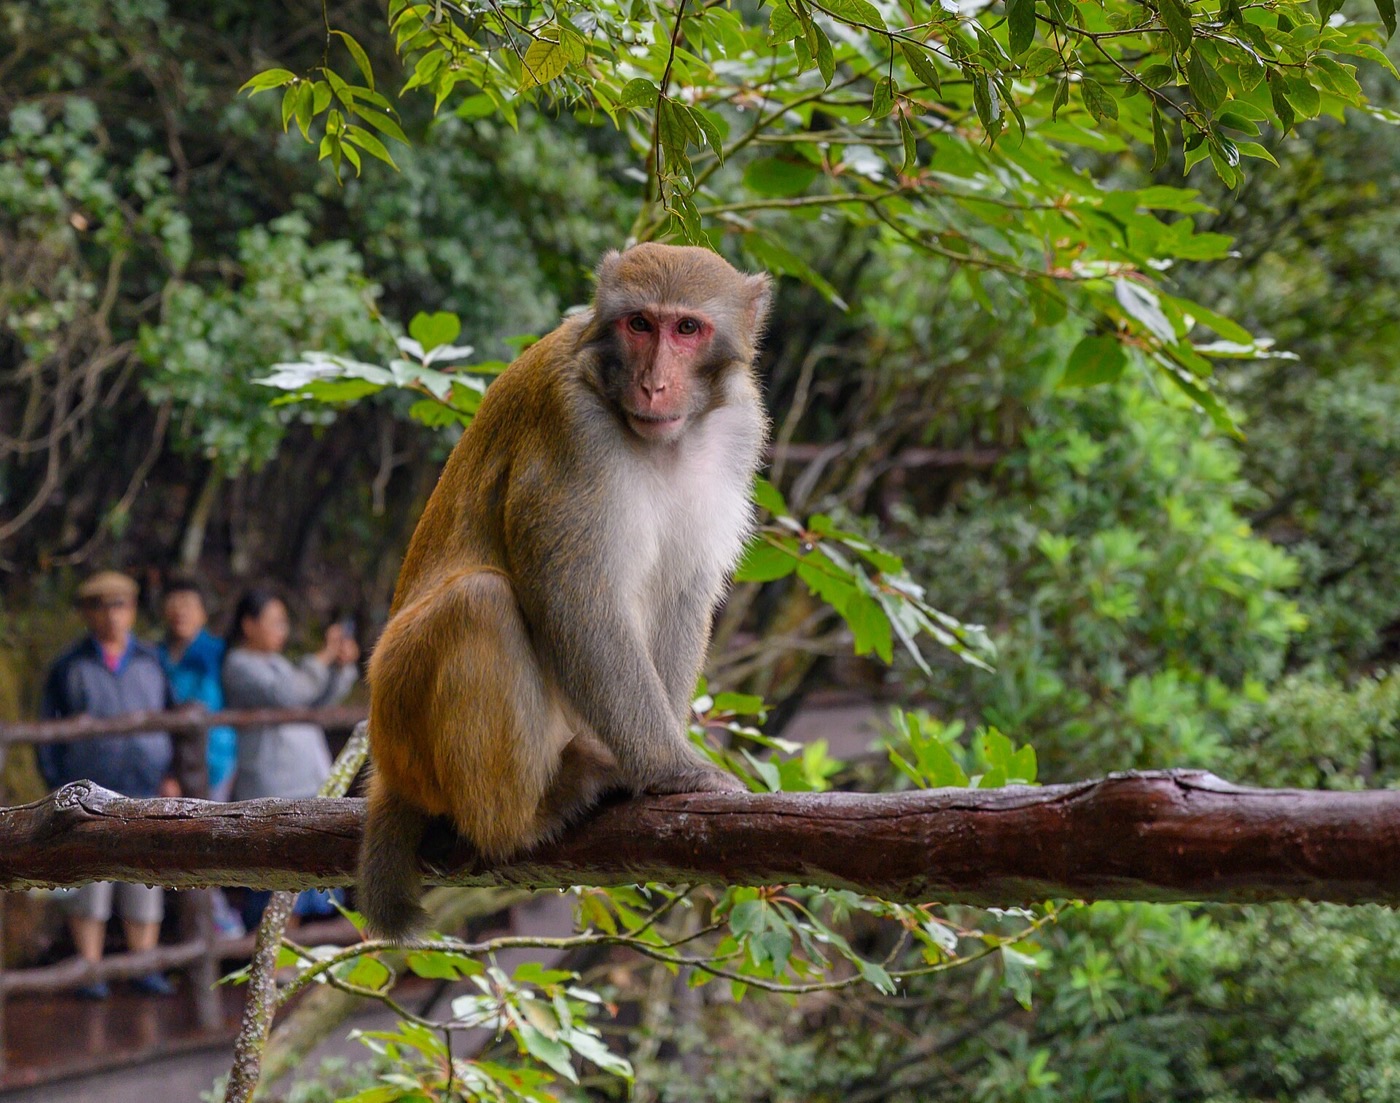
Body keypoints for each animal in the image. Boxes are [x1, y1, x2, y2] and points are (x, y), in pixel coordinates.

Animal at [357, 243, 773, 939]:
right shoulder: (572, 427)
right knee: (481, 605)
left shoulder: (738, 431)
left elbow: (684, 593)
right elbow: (573, 599)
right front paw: (673, 768)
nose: (653, 384)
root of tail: (387, 766)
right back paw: (521, 821)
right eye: (640, 324)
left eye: (687, 328)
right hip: (401, 716)